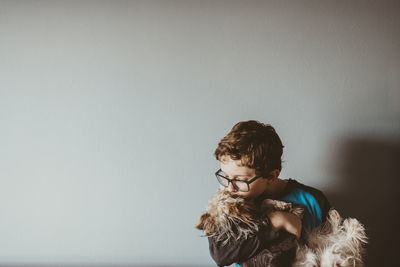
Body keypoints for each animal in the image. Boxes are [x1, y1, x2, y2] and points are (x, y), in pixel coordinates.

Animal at [195, 191, 368, 267]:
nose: (239, 203)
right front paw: (286, 208)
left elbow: (265, 201)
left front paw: (282, 205)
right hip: (332, 255)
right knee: (349, 240)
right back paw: (348, 223)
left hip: (321, 243)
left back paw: (337, 217)